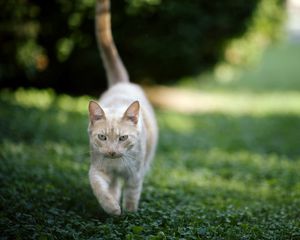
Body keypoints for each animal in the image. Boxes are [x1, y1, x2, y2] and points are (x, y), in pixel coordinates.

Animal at [88, 0, 158, 216]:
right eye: (102, 137)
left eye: (123, 138)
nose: (112, 152)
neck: (116, 164)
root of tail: (122, 83)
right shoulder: (97, 170)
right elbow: (100, 188)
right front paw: (112, 208)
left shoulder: (135, 175)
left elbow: (132, 195)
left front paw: (129, 213)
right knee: (113, 186)